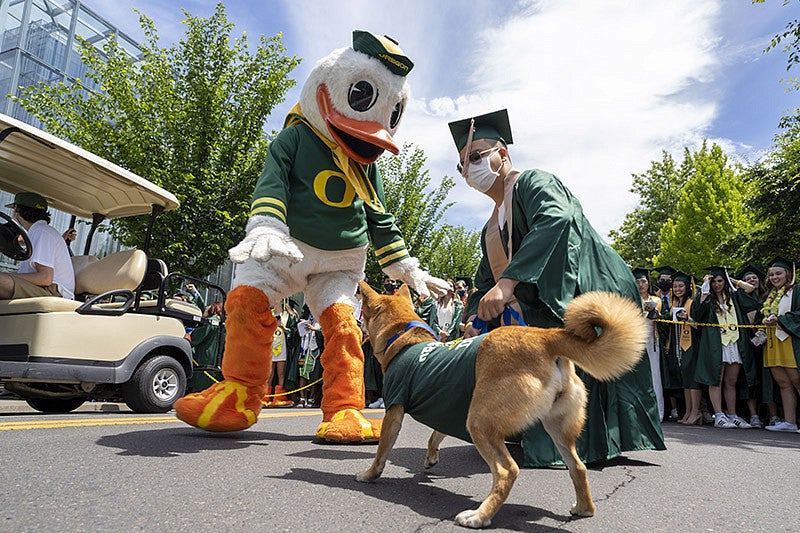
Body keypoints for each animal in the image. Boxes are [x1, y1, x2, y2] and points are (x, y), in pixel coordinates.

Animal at [356, 282, 648, 528]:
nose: (359, 325)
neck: (404, 336)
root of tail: (546, 337)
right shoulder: (447, 409)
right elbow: (434, 436)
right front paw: (430, 458)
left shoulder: (394, 413)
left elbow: (382, 451)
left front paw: (369, 474)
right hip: (556, 428)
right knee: (578, 467)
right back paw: (584, 508)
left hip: (480, 424)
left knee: (507, 471)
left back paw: (479, 516)